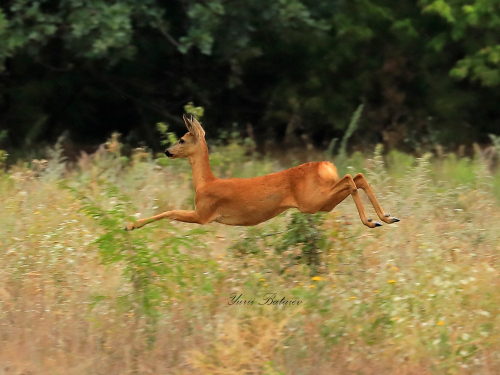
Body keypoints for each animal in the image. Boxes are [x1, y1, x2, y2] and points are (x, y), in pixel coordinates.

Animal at [125, 115, 398, 232]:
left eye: (182, 139)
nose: (167, 151)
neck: (205, 183)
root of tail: (326, 165)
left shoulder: (203, 214)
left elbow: (169, 212)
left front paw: (131, 225)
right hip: (321, 203)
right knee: (358, 176)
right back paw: (386, 217)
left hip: (312, 201)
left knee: (351, 179)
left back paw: (371, 220)